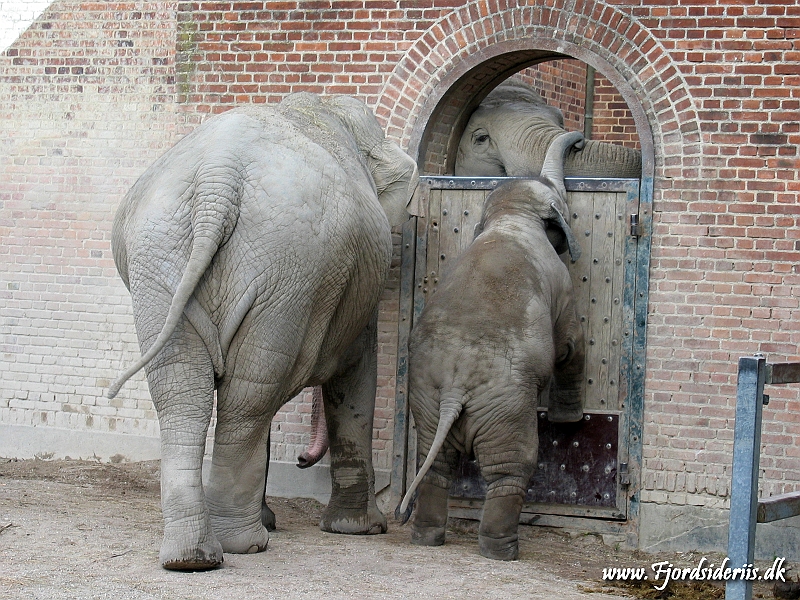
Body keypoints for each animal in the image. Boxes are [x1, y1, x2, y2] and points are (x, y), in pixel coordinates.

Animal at [109, 91, 418, 568]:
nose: (304, 461)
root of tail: (218, 178)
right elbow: (356, 375)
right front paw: (362, 530)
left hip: (175, 262)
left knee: (190, 391)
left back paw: (194, 556)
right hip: (286, 270)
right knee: (248, 394)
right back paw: (243, 544)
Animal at [400, 130, 588, 556]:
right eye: (560, 198)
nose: (582, 142)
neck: (512, 218)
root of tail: (455, 387)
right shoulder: (562, 285)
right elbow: (569, 346)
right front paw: (567, 421)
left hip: (426, 397)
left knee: (436, 463)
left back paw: (426, 538)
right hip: (506, 408)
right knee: (510, 467)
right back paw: (503, 551)